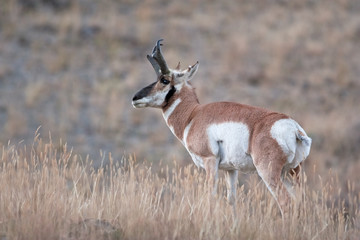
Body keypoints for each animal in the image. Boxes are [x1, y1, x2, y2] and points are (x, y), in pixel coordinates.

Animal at [131, 39, 310, 216]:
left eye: (164, 80)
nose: (135, 98)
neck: (193, 115)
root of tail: (293, 128)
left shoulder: (210, 161)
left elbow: (210, 197)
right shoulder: (231, 170)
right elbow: (231, 200)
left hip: (269, 173)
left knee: (285, 202)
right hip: (291, 173)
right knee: (300, 204)